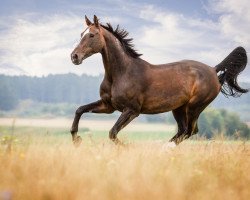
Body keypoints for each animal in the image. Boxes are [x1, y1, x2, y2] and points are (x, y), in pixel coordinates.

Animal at [70, 14, 248, 146]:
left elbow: (112, 133)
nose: (74, 56)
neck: (121, 73)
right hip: (179, 108)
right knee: (183, 130)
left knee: (190, 131)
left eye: (92, 35)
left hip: (195, 107)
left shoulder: (132, 110)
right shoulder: (108, 106)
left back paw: (163, 149)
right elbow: (80, 110)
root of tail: (213, 69)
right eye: (80, 34)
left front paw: (127, 149)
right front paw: (76, 139)